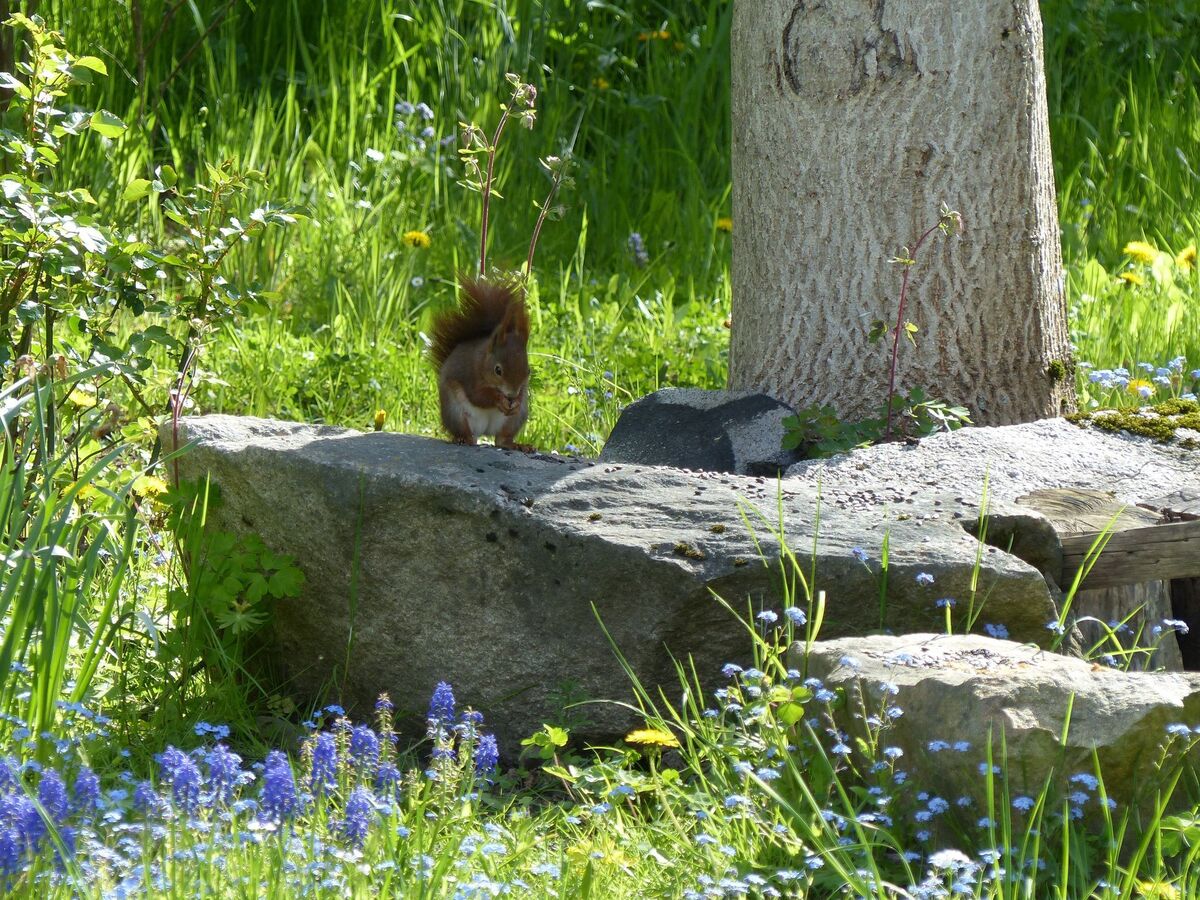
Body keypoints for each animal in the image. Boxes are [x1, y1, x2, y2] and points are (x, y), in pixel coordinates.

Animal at [427, 280, 530, 448]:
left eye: (528, 371)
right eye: (498, 370)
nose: (511, 395)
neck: (483, 361)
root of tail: (484, 432)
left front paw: (517, 401)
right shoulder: (470, 375)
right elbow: (478, 396)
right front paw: (499, 399)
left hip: (515, 419)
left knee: (502, 440)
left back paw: (517, 445)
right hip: (455, 411)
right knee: (465, 431)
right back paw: (464, 439)